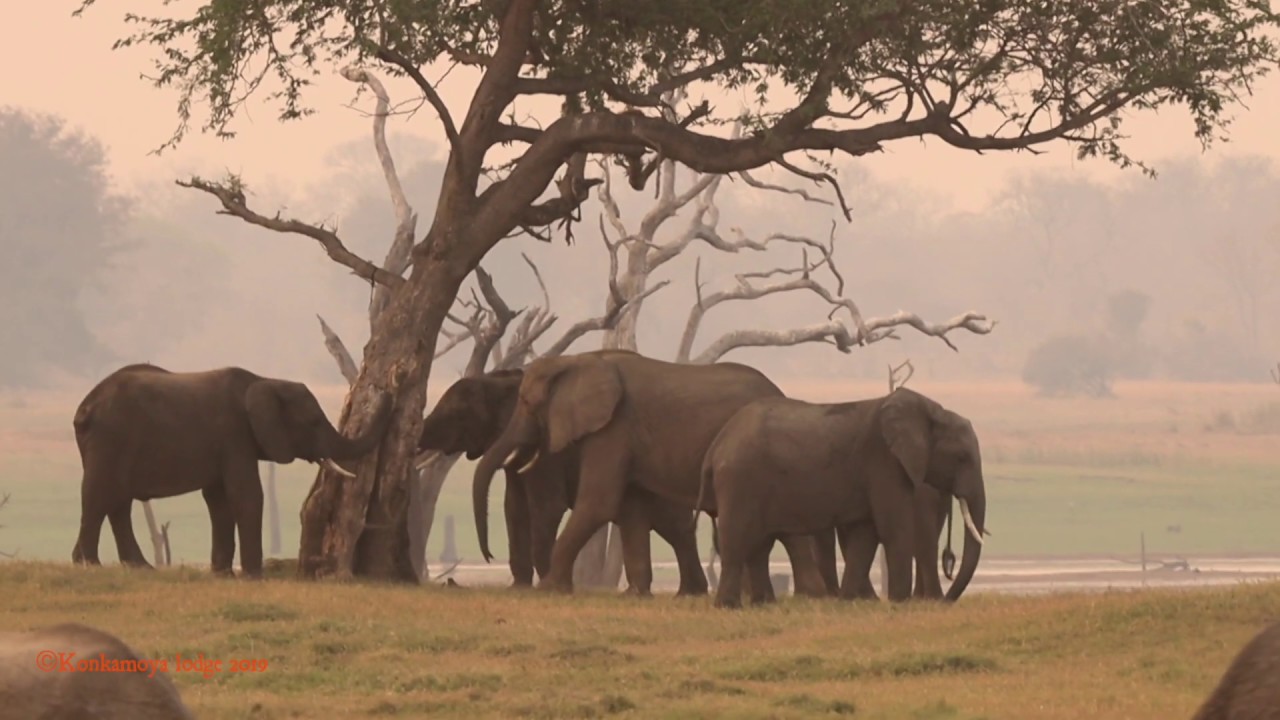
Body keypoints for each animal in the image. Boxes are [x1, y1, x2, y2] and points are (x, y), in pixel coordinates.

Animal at [72, 363, 392, 578]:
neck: (266, 380)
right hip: (110, 438)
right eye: (313, 422)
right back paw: (89, 564)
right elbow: (246, 494)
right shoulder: (235, 434)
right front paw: (254, 577)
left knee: (117, 503)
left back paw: (139, 567)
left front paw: (223, 574)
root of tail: (85, 407)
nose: (388, 393)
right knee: (99, 497)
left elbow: (219, 500)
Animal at [417, 366, 709, 595]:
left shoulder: (548, 454)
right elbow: (514, 508)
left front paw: (545, 584)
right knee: (674, 530)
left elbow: (545, 507)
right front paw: (519, 588)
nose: (489, 556)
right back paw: (690, 592)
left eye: (458, 413)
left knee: (674, 526)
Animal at [473, 349, 820, 595]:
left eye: (527, 402)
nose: (489, 557)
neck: (579, 360)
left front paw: (548, 589)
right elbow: (630, 509)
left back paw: (805, 595)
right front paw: (635, 594)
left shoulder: (614, 427)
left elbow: (598, 503)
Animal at [697, 387, 987, 608]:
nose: (947, 602)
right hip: (740, 480)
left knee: (759, 546)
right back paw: (728, 607)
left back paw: (763, 604)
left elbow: (865, 535)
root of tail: (716, 446)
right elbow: (893, 528)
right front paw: (899, 603)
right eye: (962, 457)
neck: (931, 412)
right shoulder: (884, 462)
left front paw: (848, 602)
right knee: (737, 540)